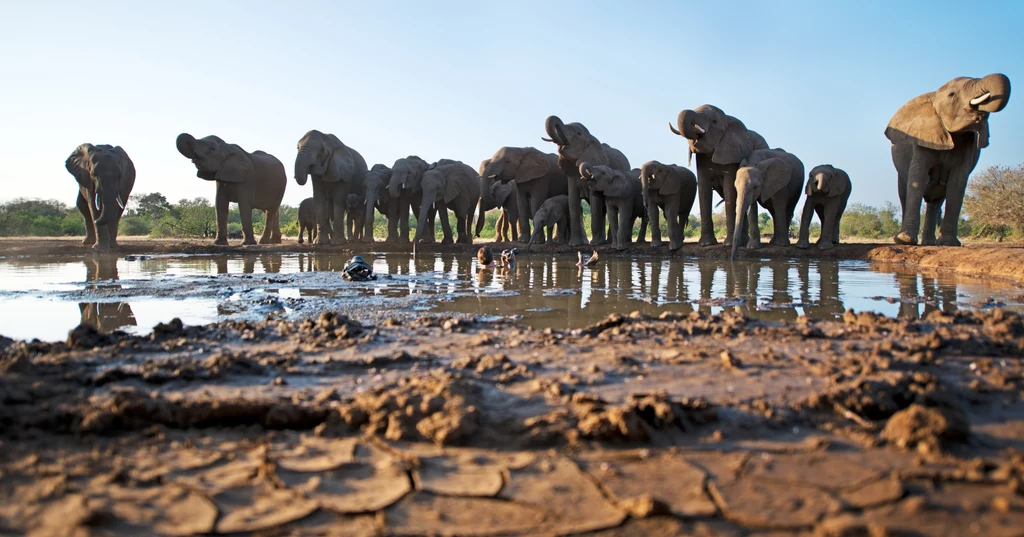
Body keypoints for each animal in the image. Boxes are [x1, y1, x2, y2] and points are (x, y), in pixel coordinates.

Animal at [544, 116, 630, 246]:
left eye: (578, 133)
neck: (590, 138)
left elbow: (594, 201)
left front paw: (595, 244)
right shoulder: (571, 175)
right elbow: (573, 201)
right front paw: (574, 244)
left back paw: (607, 241)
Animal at [671, 105, 770, 248]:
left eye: (714, 121)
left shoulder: (732, 153)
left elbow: (730, 188)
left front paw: (727, 244)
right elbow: (703, 189)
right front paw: (706, 244)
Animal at [884, 73, 1011, 244]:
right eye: (952, 95)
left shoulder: (969, 146)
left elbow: (957, 184)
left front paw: (949, 243)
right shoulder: (922, 139)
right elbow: (918, 179)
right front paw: (905, 240)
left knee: (936, 202)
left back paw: (930, 244)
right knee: (904, 193)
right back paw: (906, 239)